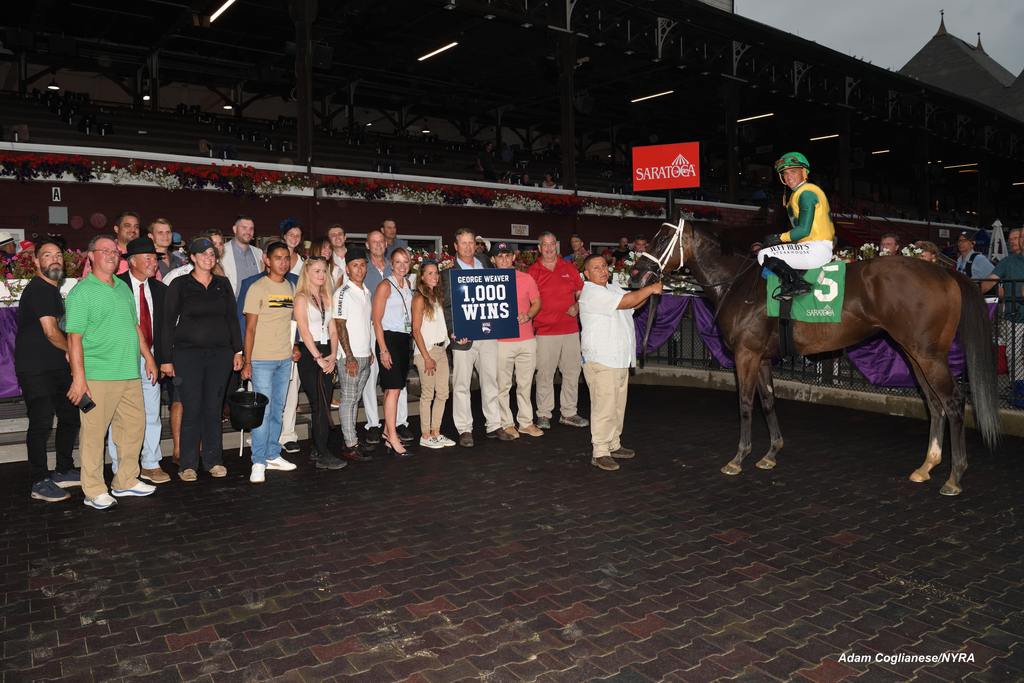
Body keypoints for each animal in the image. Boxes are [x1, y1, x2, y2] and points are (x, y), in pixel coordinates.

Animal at [630, 220, 999, 497]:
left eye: (661, 238)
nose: (636, 276)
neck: (739, 285)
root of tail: (946, 273)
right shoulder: (762, 357)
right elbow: (768, 401)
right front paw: (771, 453)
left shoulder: (746, 354)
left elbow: (746, 404)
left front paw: (738, 458)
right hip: (914, 353)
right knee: (934, 403)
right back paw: (926, 467)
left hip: (928, 354)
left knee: (953, 401)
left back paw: (954, 476)